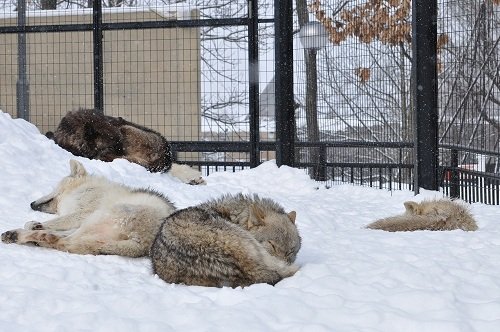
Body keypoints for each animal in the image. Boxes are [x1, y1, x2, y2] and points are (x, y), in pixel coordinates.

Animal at [0, 159, 176, 256]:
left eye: (54, 187)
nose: (31, 204)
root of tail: (143, 244)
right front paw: (36, 224)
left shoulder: (84, 212)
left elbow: (45, 223)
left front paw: (34, 224)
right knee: (65, 241)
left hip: (97, 216)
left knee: (65, 241)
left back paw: (19, 235)